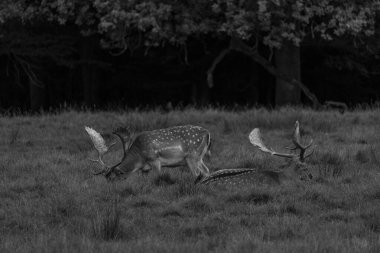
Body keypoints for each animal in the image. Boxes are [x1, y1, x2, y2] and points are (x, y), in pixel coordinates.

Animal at [84, 125, 212, 182]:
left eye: (112, 178)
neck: (140, 158)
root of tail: (207, 133)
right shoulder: (144, 169)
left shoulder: (154, 159)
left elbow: (158, 176)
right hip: (199, 157)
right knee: (206, 171)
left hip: (192, 156)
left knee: (197, 173)